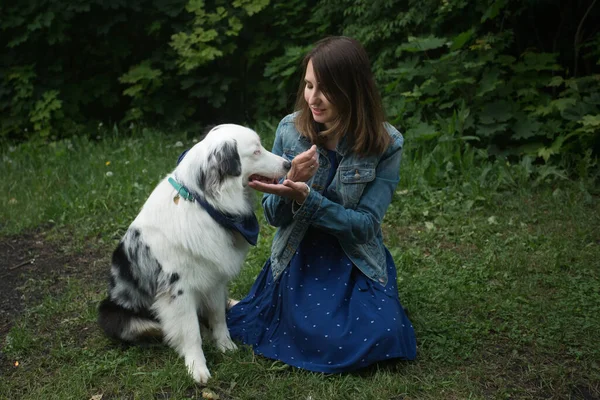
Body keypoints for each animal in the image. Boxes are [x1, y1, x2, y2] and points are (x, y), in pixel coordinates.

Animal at [98, 124, 290, 382]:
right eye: (257, 151)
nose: (288, 164)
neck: (206, 203)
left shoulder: (214, 277)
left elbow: (218, 317)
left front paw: (226, 346)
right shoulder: (178, 290)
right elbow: (191, 331)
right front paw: (197, 368)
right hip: (118, 317)